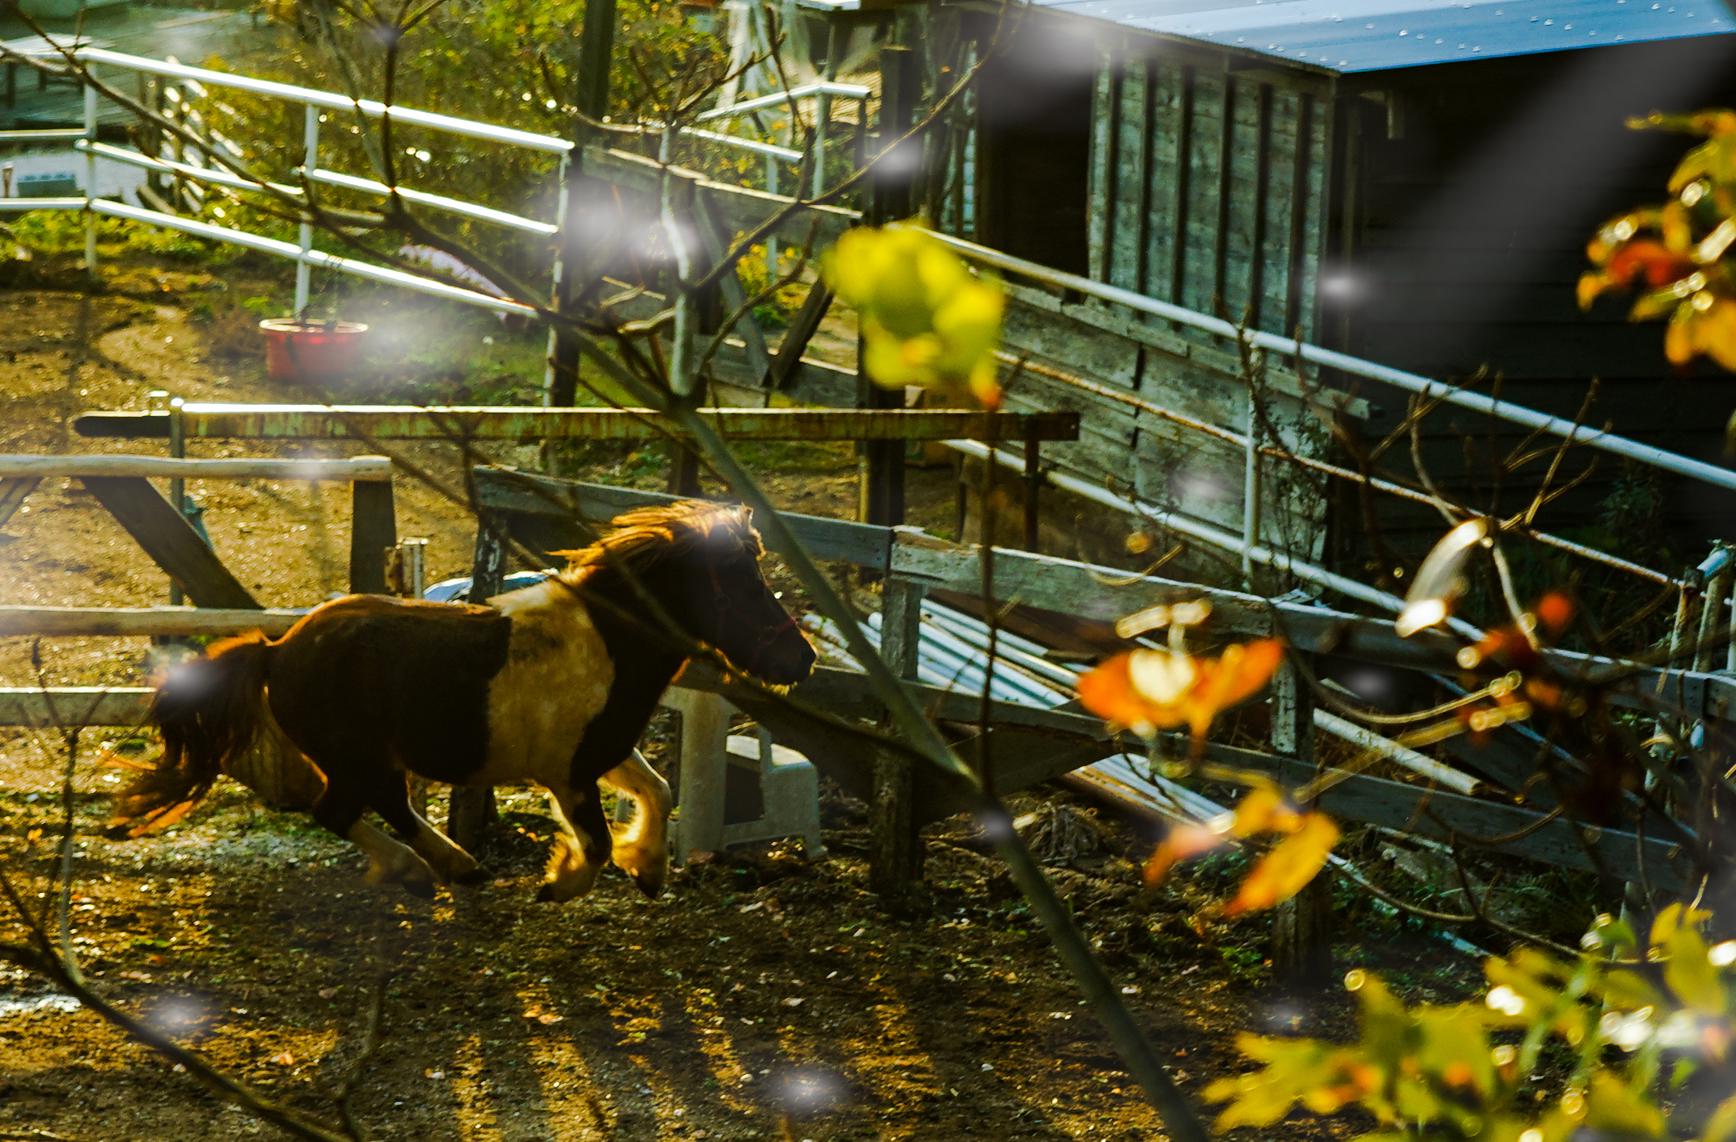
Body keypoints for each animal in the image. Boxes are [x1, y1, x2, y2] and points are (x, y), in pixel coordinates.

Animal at [111, 499, 815, 895]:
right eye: (743, 585)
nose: (801, 660)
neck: (607, 642)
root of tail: (277, 650)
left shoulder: (606, 752)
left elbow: (661, 793)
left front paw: (647, 870)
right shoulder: (569, 774)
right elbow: (593, 843)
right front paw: (560, 883)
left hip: (374, 762)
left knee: (378, 809)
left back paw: (452, 866)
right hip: (357, 759)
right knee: (340, 812)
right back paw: (428, 869)